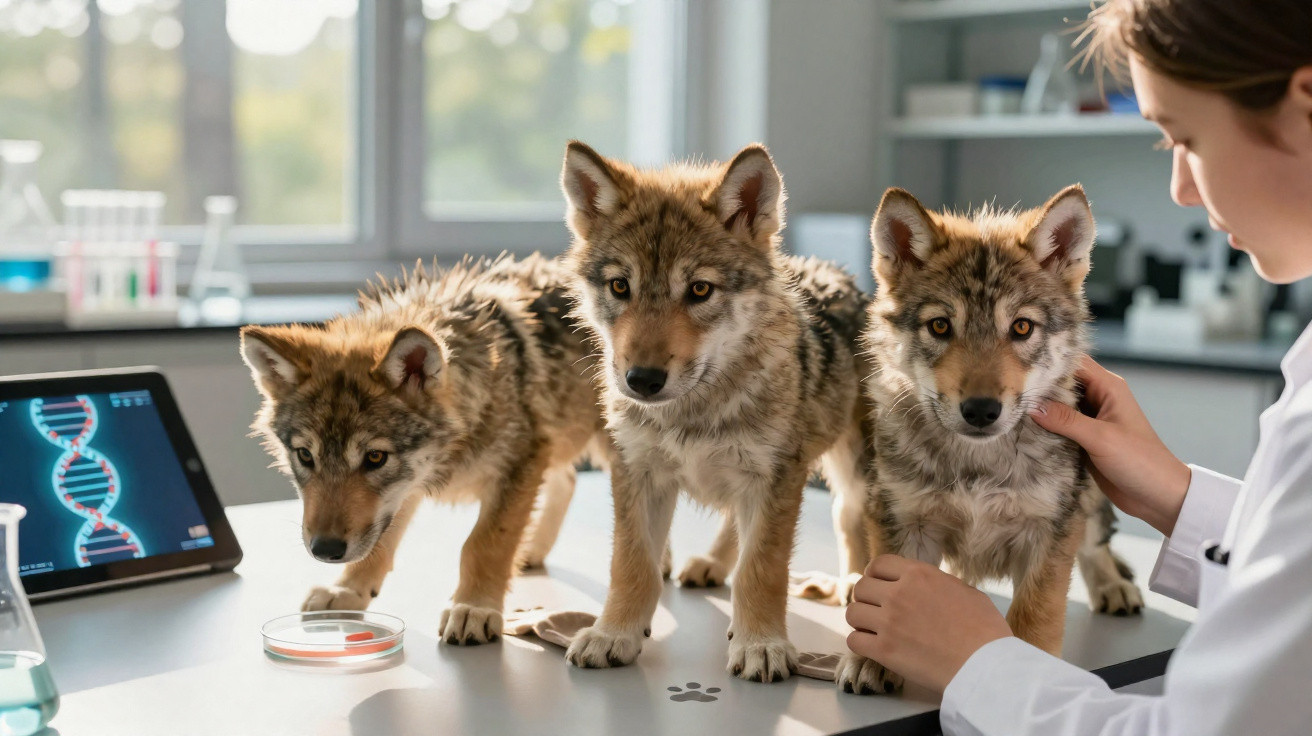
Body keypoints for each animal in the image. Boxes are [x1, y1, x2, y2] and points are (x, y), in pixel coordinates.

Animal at [240, 254, 607, 645]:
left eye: (374, 458)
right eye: (306, 456)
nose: (324, 550)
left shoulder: (521, 461)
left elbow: (484, 543)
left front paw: (474, 607)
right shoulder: (405, 489)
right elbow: (379, 545)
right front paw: (347, 591)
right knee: (568, 480)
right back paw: (530, 552)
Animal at [557, 141, 872, 682]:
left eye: (700, 290)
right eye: (620, 287)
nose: (641, 380)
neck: (693, 411)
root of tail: (837, 273)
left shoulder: (775, 478)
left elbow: (761, 570)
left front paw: (761, 643)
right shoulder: (637, 473)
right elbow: (633, 565)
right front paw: (613, 633)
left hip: (851, 470)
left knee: (851, 516)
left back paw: (854, 583)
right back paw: (711, 564)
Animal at [837, 185, 1144, 694]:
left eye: (1021, 327)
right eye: (940, 326)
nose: (981, 410)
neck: (977, 463)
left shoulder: (1049, 530)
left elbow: (1037, 613)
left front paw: (1033, 670)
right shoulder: (903, 520)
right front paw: (870, 661)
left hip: (1094, 492)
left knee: (1096, 544)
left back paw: (1113, 587)